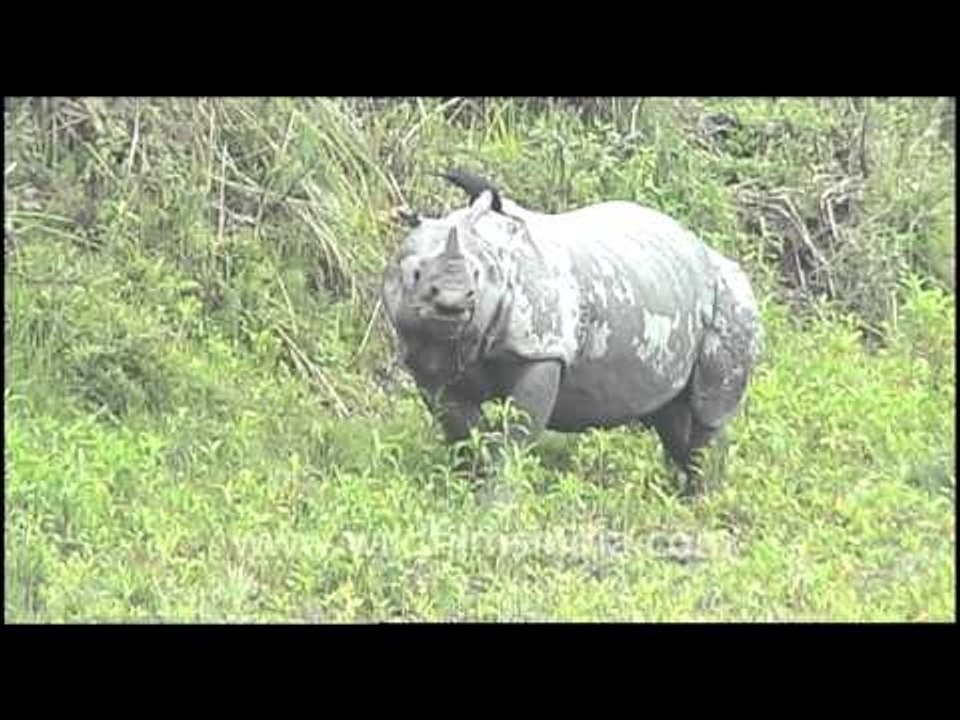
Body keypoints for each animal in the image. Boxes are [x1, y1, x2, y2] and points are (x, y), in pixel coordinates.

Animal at [381, 169, 763, 491]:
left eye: (476, 279)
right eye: (415, 275)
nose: (453, 302)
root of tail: (710, 250)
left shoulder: (542, 348)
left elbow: (517, 432)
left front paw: (492, 500)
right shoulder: (426, 361)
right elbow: (460, 428)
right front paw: (464, 483)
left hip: (731, 296)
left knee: (707, 412)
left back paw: (704, 500)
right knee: (672, 415)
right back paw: (683, 496)